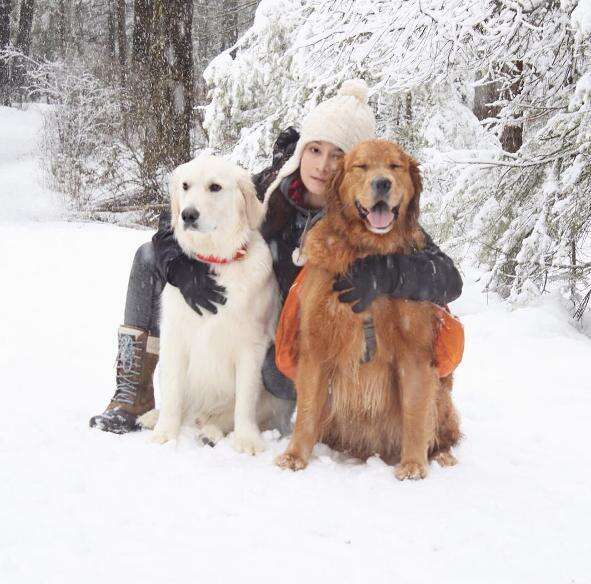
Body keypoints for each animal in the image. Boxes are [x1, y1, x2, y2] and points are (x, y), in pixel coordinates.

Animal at [141, 154, 294, 452]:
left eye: (215, 187)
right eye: (185, 185)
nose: (187, 214)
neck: (215, 262)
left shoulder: (251, 347)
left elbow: (244, 403)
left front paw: (247, 441)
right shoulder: (175, 338)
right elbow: (173, 394)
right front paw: (165, 433)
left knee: (220, 419)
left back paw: (210, 432)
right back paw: (153, 417)